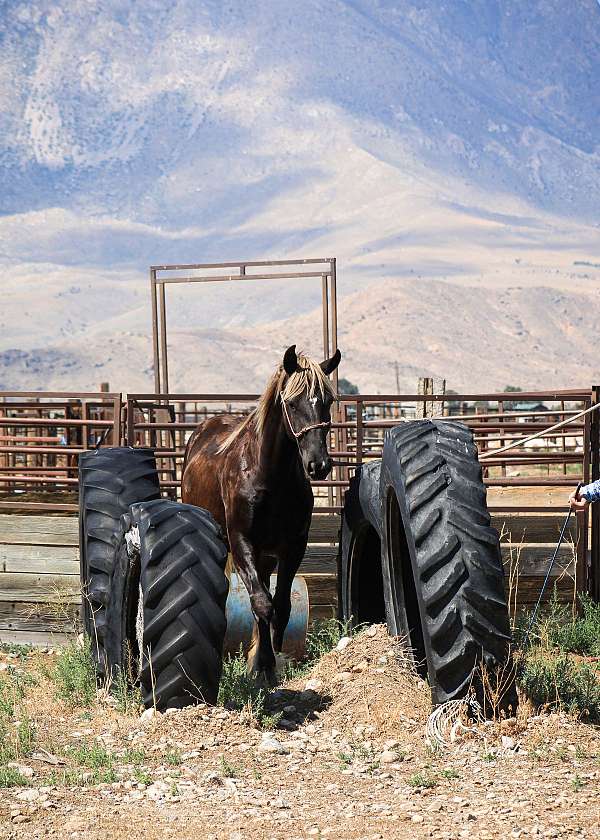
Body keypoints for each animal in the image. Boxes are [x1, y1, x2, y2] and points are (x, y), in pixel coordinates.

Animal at [180, 346, 340, 684]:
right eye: (291, 403)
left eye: (328, 401)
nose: (318, 465)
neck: (268, 475)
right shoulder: (242, 544)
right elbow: (262, 604)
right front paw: (264, 665)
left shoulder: (293, 547)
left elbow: (281, 605)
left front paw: (273, 659)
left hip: (266, 557)